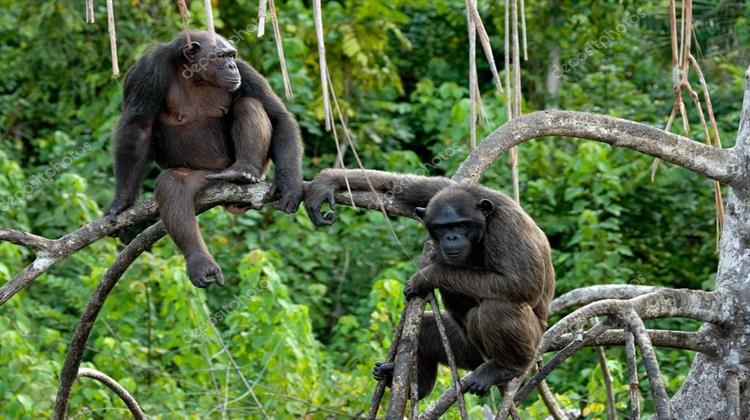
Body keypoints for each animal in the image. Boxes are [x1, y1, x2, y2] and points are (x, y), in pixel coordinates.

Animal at [106, 30, 306, 288]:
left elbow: (279, 117)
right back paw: (200, 262)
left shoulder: (246, 72)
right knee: (173, 184)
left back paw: (244, 171)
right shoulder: (146, 72)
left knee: (248, 103)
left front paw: (289, 185)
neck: (194, 75)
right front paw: (121, 203)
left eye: (232, 55)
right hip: (206, 176)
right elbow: (137, 130)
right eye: (220, 56)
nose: (231, 66)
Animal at [306, 170, 560, 398]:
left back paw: (506, 367)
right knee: (427, 328)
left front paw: (428, 275)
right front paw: (326, 183)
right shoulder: (439, 192)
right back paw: (412, 384)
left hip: (532, 344)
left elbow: (521, 282)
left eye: (461, 225)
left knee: (498, 307)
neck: (485, 222)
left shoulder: (508, 228)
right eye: (442, 227)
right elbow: (404, 185)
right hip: (467, 351)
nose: (451, 237)